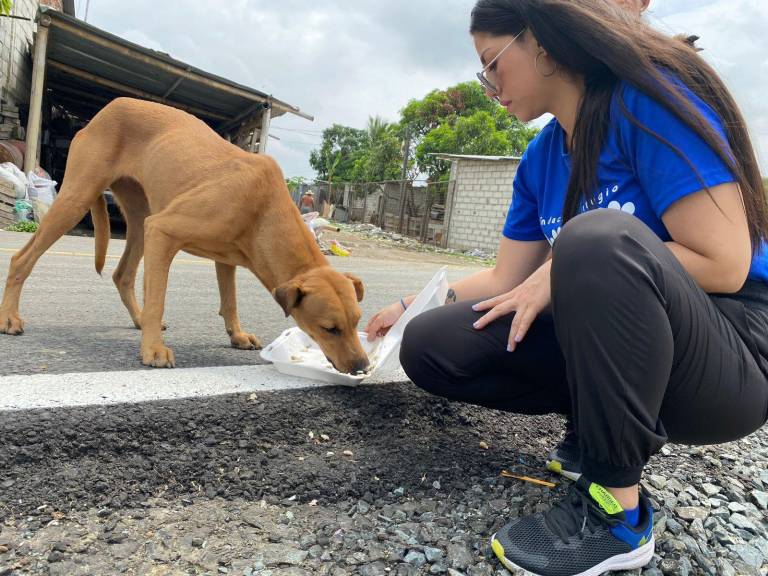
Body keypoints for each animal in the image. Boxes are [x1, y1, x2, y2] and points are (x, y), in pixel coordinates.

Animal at [0, 98, 372, 374]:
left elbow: (229, 300)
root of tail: (99, 115)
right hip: (79, 199)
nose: (362, 367)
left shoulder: (226, 257)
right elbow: (159, 298)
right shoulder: (164, 230)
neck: (264, 208)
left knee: (123, 274)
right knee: (21, 258)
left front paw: (236, 335)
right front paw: (152, 351)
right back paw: (9, 318)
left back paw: (138, 319)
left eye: (358, 321)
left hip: (140, 217)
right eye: (329, 328)